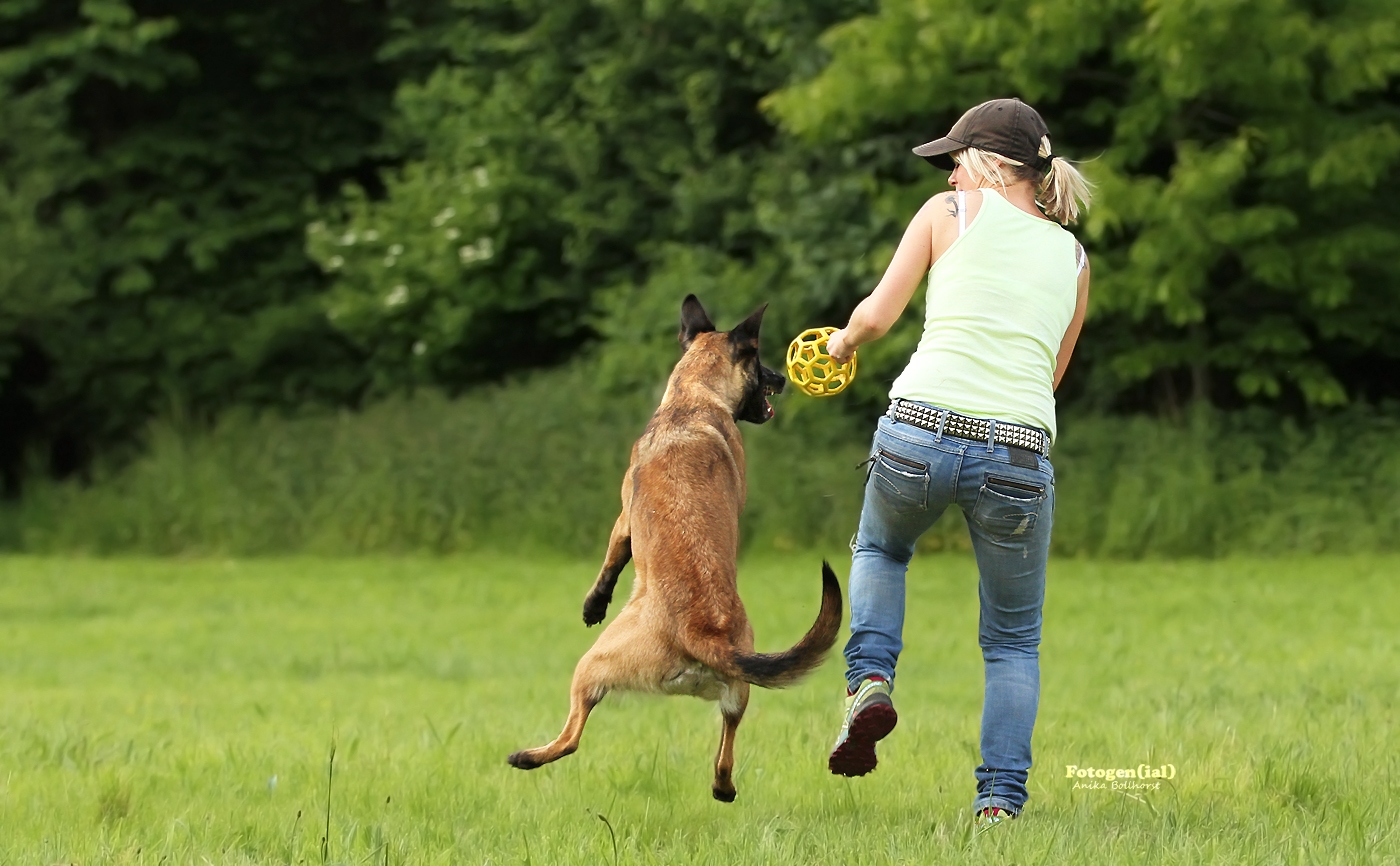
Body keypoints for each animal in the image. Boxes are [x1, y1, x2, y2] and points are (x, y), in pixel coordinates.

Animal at [512, 295, 845, 800]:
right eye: (761, 363)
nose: (782, 378)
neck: (694, 398)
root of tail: (703, 634)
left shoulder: (624, 518)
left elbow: (612, 559)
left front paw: (593, 605)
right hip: (738, 693)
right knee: (727, 747)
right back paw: (723, 789)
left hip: (592, 664)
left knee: (571, 736)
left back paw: (526, 756)